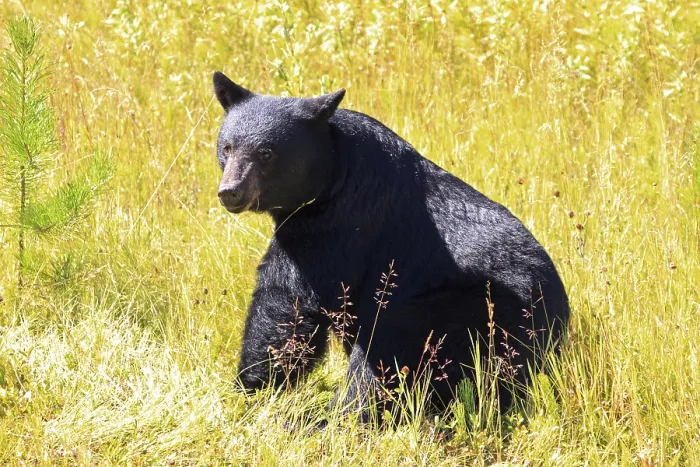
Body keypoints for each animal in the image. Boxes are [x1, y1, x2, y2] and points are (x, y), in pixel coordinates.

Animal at [211, 71, 569, 421]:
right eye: (227, 147)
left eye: (265, 153)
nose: (230, 191)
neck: (332, 170)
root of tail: (557, 328)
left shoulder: (338, 223)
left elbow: (288, 300)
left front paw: (250, 385)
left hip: (463, 312)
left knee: (385, 357)